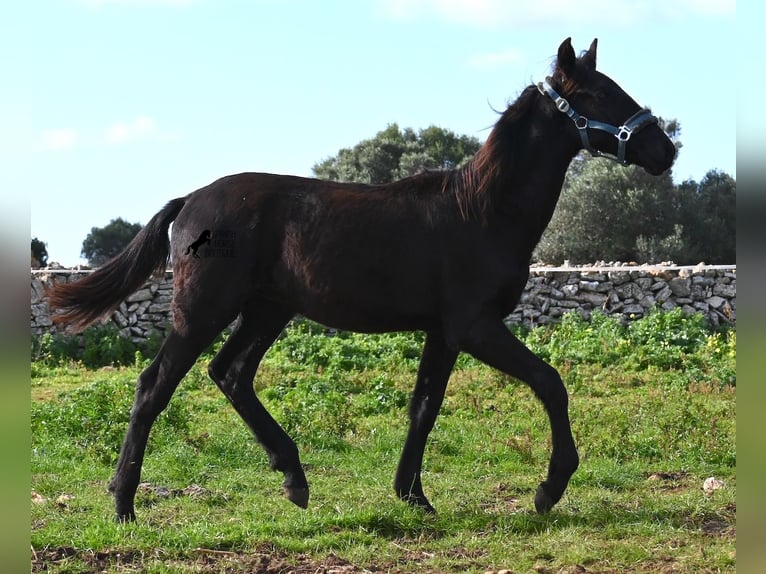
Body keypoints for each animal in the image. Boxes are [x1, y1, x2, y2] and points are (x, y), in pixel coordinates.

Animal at [48, 38, 676, 524]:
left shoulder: (443, 332)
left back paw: (293, 477)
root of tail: (190, 202)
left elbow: (424, 406)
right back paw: (124, 504)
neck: (481, 211)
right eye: (598, 94)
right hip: (204, 309)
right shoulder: (475, 326)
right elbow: (550, 383)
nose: (664, 149)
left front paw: (413, 496)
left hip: (267, 309)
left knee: (230, 374)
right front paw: (550, 488)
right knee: (154, 386)